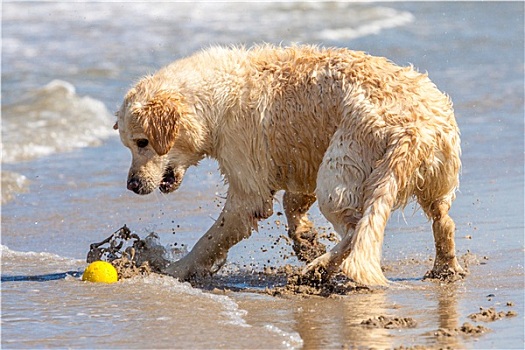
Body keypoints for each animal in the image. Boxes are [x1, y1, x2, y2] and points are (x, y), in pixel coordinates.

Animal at [114, 44, 462, 284]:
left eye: (143, 142)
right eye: (128, 145)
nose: (132, 185)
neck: (212, 101)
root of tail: (412, 129)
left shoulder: (247, 191)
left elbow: (211, 239)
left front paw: (175, 270)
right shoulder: (303, 162)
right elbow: (292, 203)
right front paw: (305, 239)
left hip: (339, 170)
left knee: (356, 229)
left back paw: (317, 270)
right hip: (433, 178)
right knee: (441, 220)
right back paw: (444, 269)